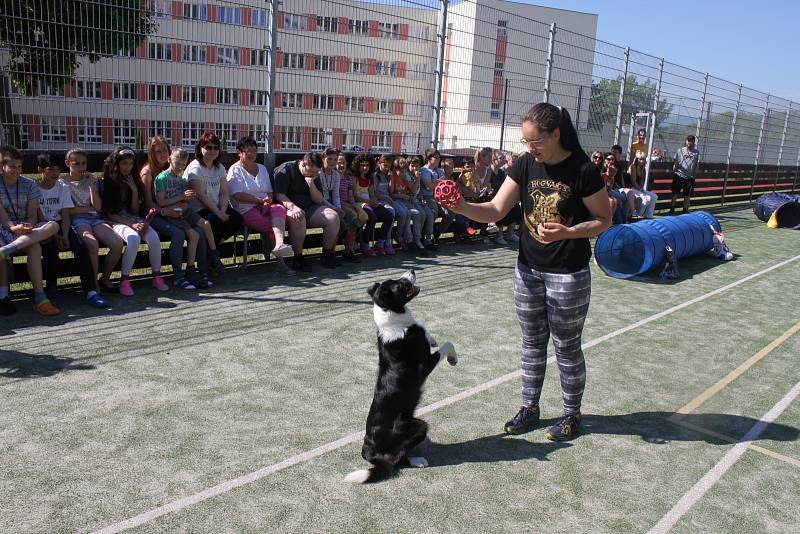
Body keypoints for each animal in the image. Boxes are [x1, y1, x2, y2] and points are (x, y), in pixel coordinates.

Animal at [344, 272, 456, 486]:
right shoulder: (424, 366)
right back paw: (417, 460)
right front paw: (453, 358)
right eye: (401, 284)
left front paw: (432, 338)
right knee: (395, 459)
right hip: (418, 425)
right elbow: (448, 344)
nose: (411, 270)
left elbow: (428, 332)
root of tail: (367, 448)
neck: (393, 318)